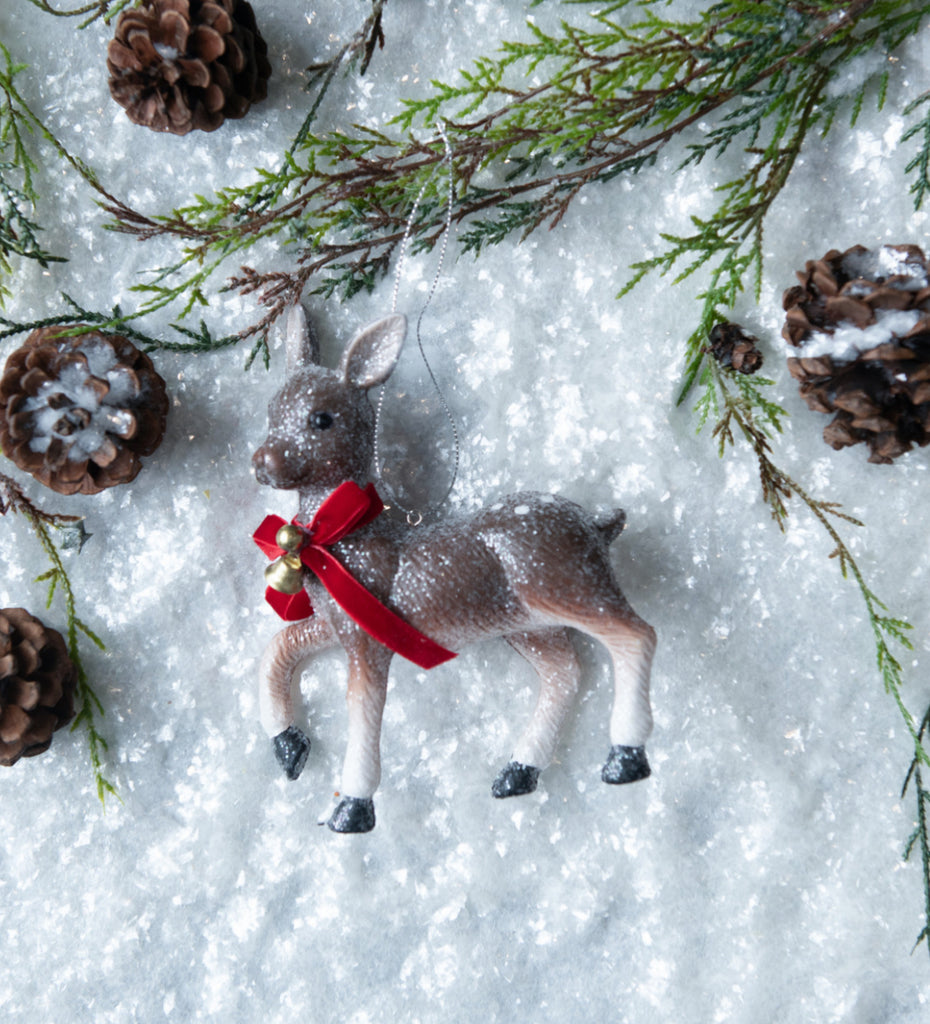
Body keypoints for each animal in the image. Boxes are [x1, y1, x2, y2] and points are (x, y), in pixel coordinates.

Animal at [250, 307, 655, 835]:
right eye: (270, 410)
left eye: (321, 419)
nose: (263, 461)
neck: (335, 542)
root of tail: (598, 526)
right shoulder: (339, 624)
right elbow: (278, 646)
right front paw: (289, 746)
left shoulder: (368, 639)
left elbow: (363, 712)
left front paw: (352, 807)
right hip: (529, 626)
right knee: (565, 674)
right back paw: (517, 773)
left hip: (567, 585)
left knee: (636, 635)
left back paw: (625, 758)